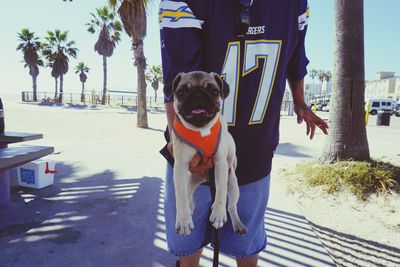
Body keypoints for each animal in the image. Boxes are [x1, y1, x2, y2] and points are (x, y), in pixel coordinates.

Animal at [163, 70, 245, 237]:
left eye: (214, 91)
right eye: (181, 92)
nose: (198, 94)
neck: (201, 130)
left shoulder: (220, 163)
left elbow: (221, 192)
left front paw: (218, 214)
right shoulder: (180, 167)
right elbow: (180, 195)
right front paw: (183, 220)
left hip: (233, 184)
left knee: (231, 206)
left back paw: (236, 222)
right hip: (191, 180)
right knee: (188, 195)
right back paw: (189, 208)